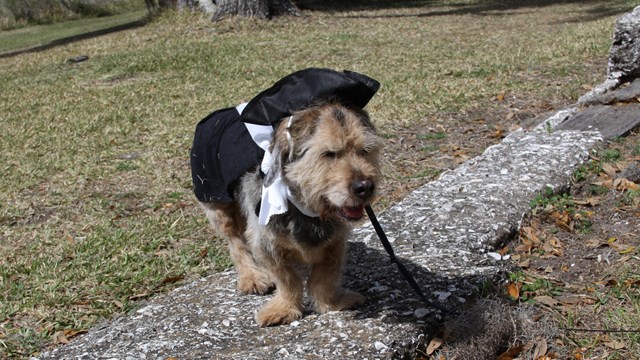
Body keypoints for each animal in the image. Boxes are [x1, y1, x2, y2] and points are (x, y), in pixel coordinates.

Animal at [190, 67, 380, 326]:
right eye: (329, 154)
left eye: (365, 151)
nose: (365, 187)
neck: (304, 207)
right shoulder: (267, 240)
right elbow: (287, 279)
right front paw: (284, 308)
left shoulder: (336, 240)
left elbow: (326, 276)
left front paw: (331, 303)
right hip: (217, 203)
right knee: (235, 242)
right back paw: (252, 276)